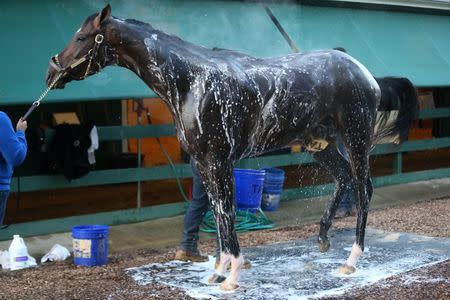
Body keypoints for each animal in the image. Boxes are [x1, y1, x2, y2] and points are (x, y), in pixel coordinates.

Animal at [45, 4, 384, 290]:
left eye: (81, 37)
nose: (51, 71)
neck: (192, 82)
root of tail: (366, 75)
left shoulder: (220, 161)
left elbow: (226, 212)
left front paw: (231, 276)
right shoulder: (202, 164)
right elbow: (216, 213)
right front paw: (219, 271)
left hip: (355, 138)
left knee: (364, 187)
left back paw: (351, 260)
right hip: (320, 145)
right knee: (343, 178)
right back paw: (323, 237)